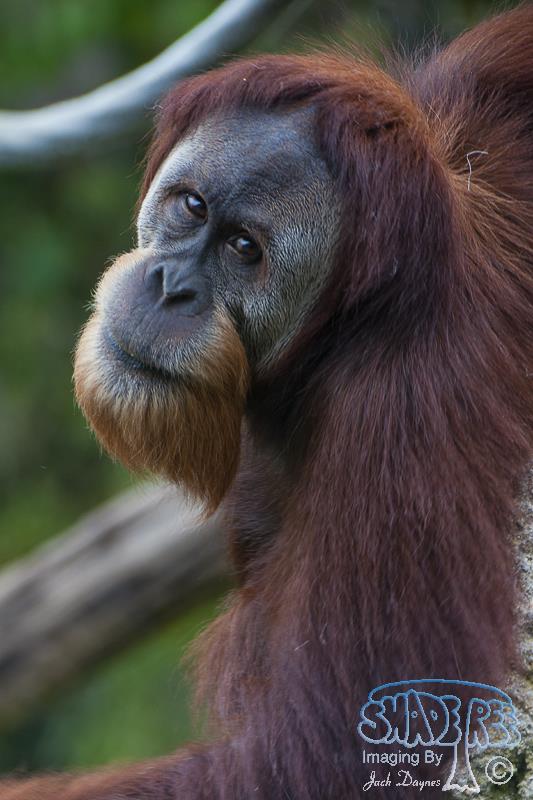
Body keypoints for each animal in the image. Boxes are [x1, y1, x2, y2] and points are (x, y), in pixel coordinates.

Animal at [1, 5, 532, 798]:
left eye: (244, 249)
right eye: (192, 207)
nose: (170, 287)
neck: (344, 330)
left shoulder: (402, 420)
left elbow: (321, 752)